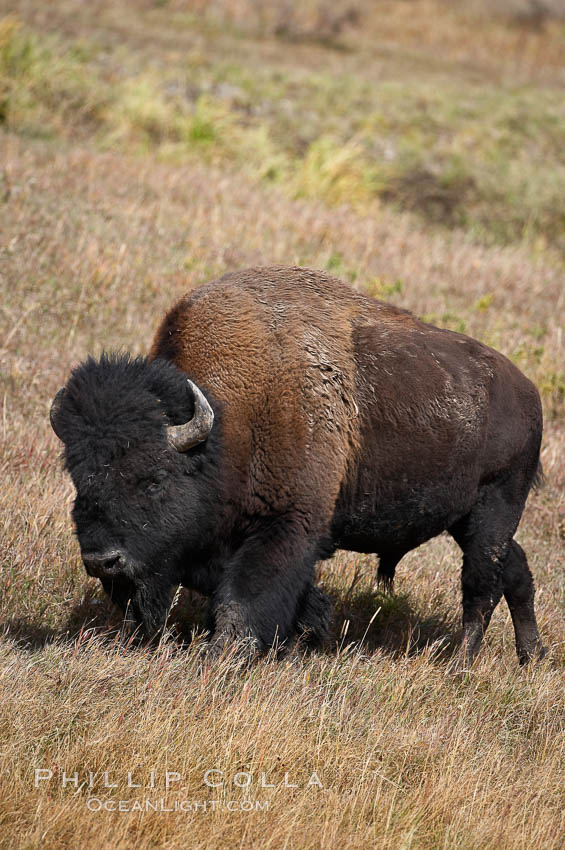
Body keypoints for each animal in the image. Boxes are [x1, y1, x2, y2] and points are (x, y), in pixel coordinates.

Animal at [50, 262, 544, 664]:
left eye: (153, 480)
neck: (228, 423)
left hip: (495, 505)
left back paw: (461, 665)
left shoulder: (288, 524)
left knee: (481, 585)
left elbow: (245, 598)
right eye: (80, 478)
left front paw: (223, 656)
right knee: (515, 568)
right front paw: (305, 639)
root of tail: (528, 391)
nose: (102, 560)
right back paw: (531, 658)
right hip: (464, 517)